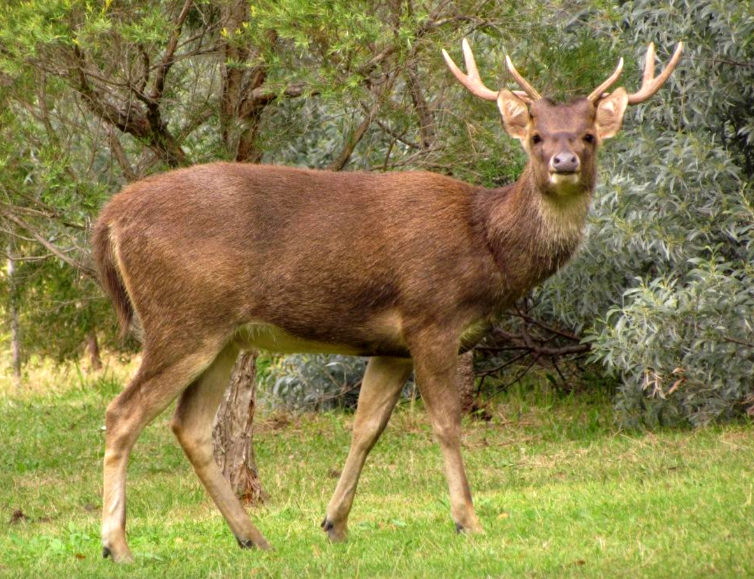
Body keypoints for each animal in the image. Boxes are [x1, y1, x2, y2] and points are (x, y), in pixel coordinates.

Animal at [92, 38, 682, 562]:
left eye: (589, 136)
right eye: (536, 136)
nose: (563, 160)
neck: (485, 248)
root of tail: (111, 219)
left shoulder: (390, 345)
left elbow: (367, 429)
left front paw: (334, 523)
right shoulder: (431, 318)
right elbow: (446, 422)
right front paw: (467, 520)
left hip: (225, 337)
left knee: (190, 427)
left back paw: (252, 537)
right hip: (182, 319)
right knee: (122, 413)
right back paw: (117, 545)